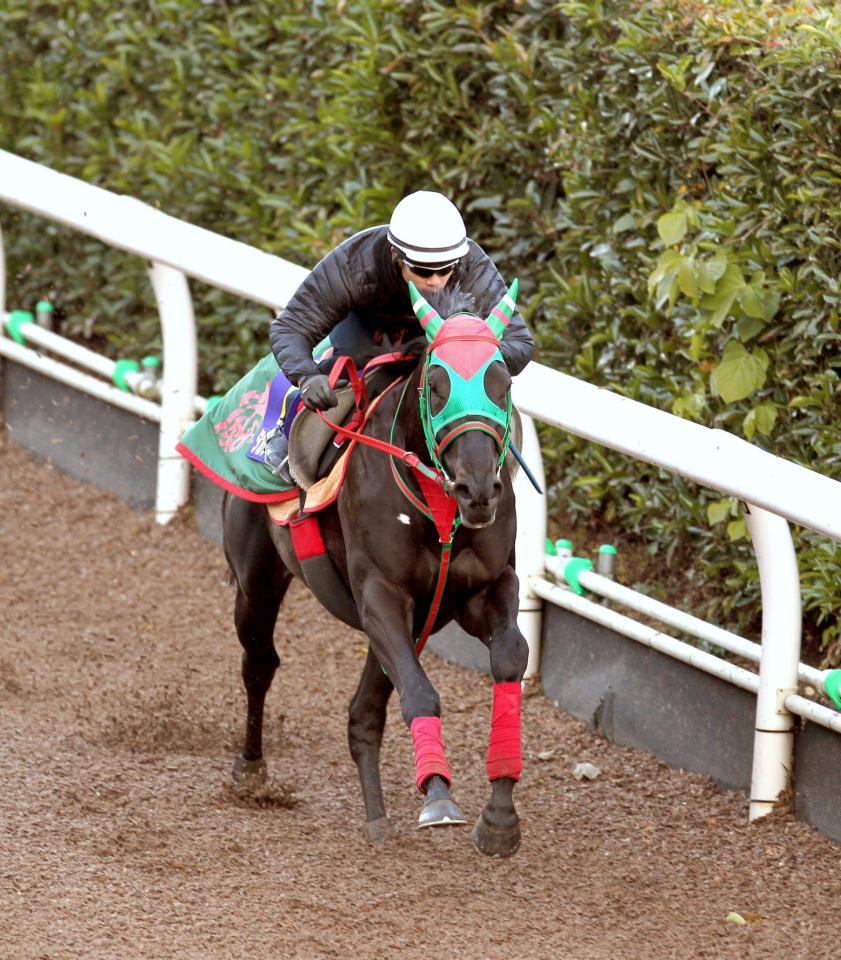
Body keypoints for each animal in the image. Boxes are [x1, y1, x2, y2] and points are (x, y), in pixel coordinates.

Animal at [220, 278, 528, 856]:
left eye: (501, 384)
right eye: (436, 385)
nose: (478, 488)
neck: (440, 511)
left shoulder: (480, 592)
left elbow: (510, 659)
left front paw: (499, 816)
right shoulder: (381, 593)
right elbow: (420, 692)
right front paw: (439, 797)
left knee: (364, 710)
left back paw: (376, 814)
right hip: (257, 580)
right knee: (260, 664)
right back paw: (251, 770)